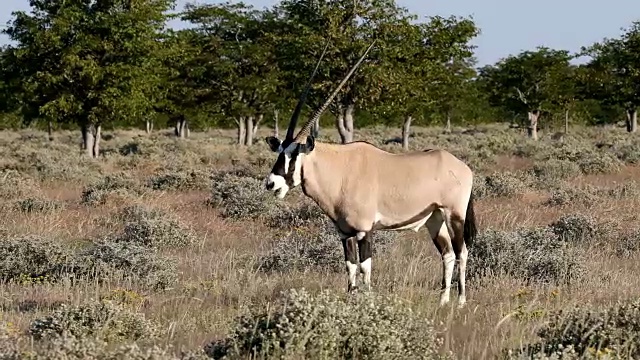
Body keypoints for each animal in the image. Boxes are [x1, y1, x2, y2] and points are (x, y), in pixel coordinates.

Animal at [262, 41, 478, 306]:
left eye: (294, 155)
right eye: (279, 152)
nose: (271, 184)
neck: (340, 170)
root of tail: (462, 167)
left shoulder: (366, 230)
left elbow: (365, 267)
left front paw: (368, 301)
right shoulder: (345, 233)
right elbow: (350, 266)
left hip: (454, 214)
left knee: (461, 251)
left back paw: (461, 301)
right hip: (434, 219)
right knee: (447, 254)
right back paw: (443, 301)